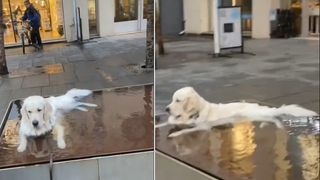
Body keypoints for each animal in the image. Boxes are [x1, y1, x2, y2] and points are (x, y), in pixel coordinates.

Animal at [156, 87, 318, 136]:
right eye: (172, 99)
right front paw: (157, 125)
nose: (166, 109)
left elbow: (185, 130)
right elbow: (166, 123)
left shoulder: (203, 127)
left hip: (253, 115)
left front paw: (174, 134)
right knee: (272, 119)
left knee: (274, 118)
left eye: (177, 100)